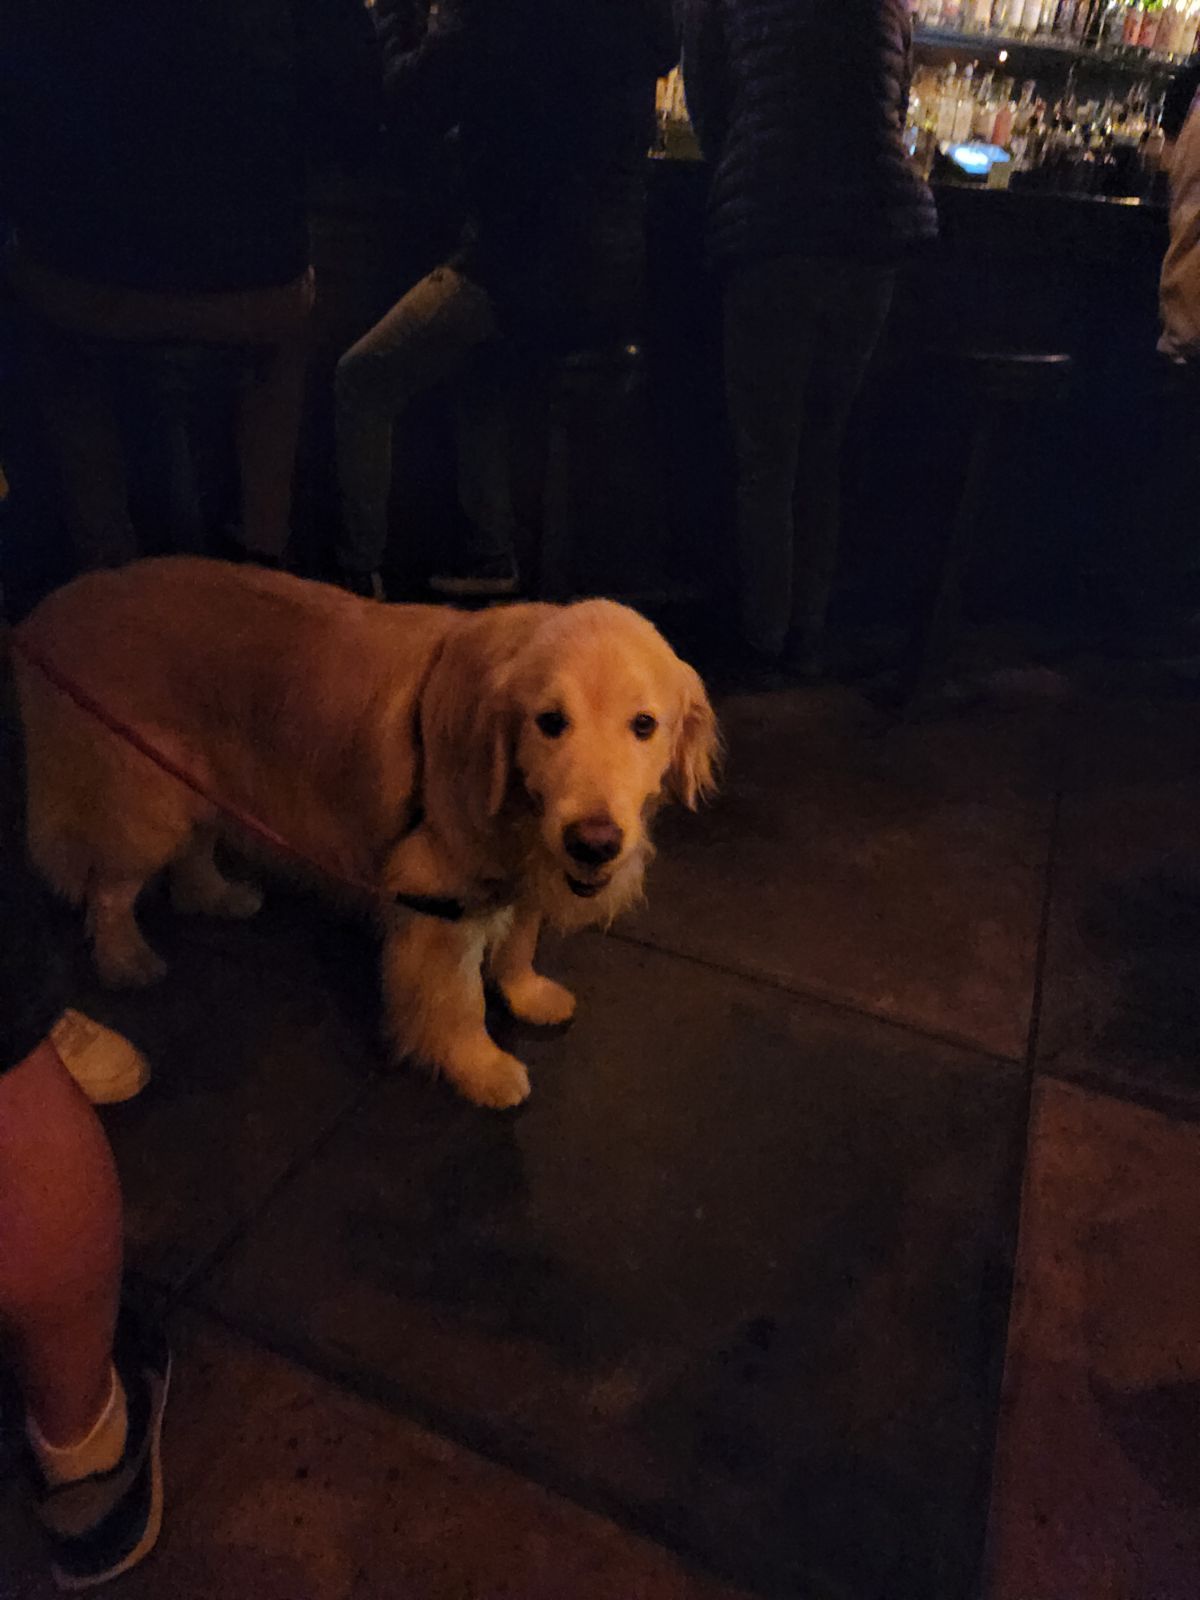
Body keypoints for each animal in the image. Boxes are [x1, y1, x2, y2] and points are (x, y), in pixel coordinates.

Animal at [14, 563, 720, 1113]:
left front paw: (527, 993)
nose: (594, 841)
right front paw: (480, 1067)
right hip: (146, 807)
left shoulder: (523, 868)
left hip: (201, 785)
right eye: (550, 722)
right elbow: (459, 1001)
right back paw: (126, 960)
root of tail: (46, 613)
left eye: (644, 725)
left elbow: (520, 940)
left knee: (192, 858)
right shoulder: (438, 896)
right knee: (109, 890)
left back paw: (217, 896)